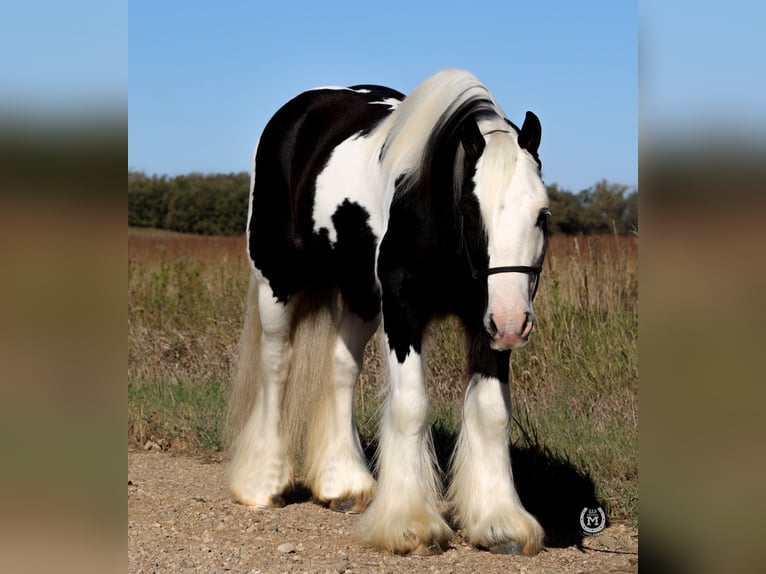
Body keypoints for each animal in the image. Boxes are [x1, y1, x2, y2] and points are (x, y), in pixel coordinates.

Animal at [228, 68, 552, 560]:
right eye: (470, 210)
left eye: (542, 215)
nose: (515, 322)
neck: (429, 203)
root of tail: (300, 111)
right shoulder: (403, 309)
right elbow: (411, 406)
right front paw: (410, 525)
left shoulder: (484, 319)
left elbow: (492, 411)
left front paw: (500, 523)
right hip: (276, 283)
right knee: (276, 368)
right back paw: (263, 484)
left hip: (361, 297)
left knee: (341, 370)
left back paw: (343, 482)